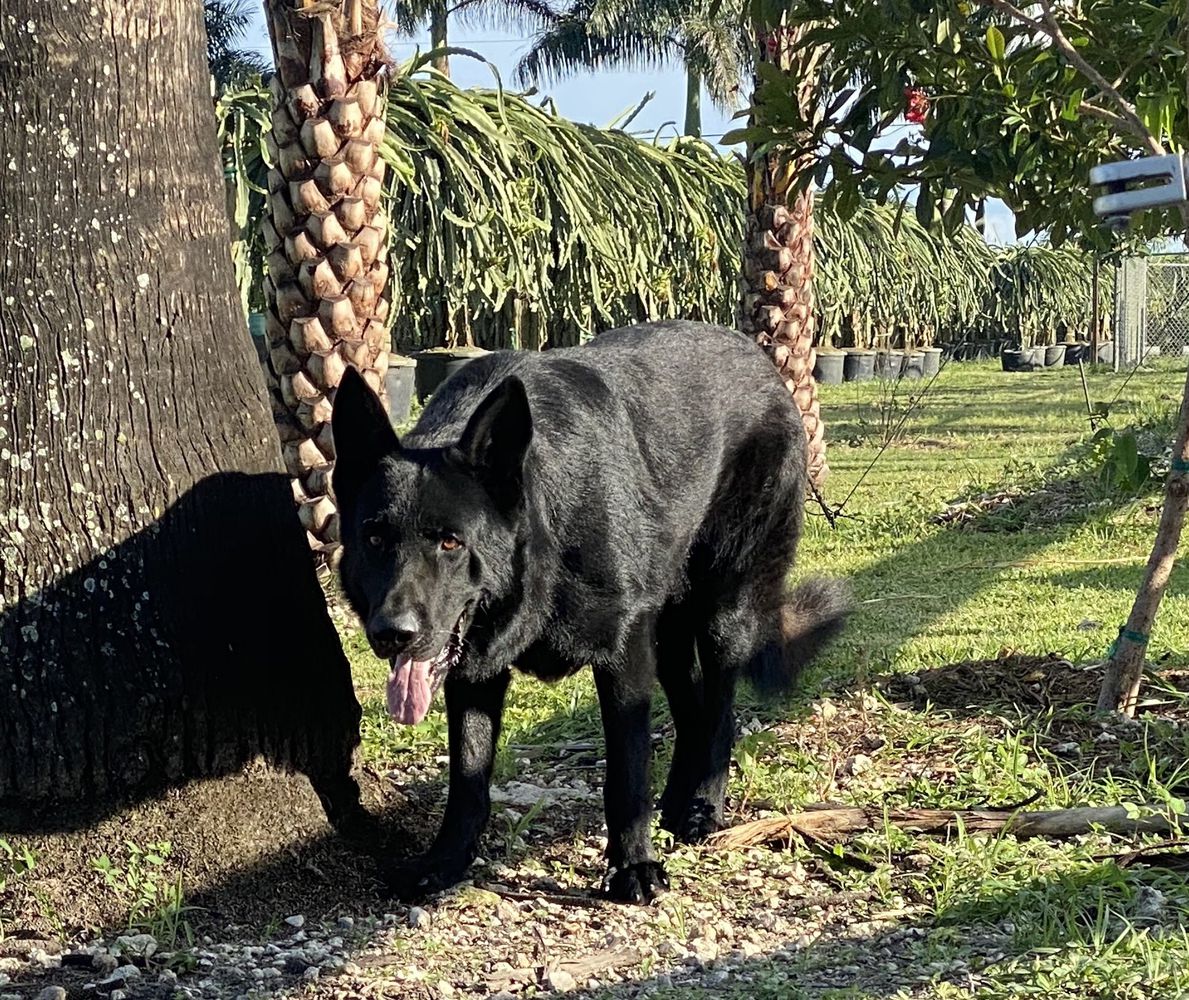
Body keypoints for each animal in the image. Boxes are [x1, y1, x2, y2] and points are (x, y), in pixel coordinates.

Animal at [332, 321, 846, 903]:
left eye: (450, 542)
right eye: (375, 538)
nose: (392, 634)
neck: (548, 525)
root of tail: (760, 359)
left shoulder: (624, 656)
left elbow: (626, 771)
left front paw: (633, 866)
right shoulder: (476, 673)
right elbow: (467, 776)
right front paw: (445, 861)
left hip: (723, 610)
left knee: (719, 712)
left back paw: (703, 807)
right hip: (667, 635)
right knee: (692, 709)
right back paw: (677, 802)